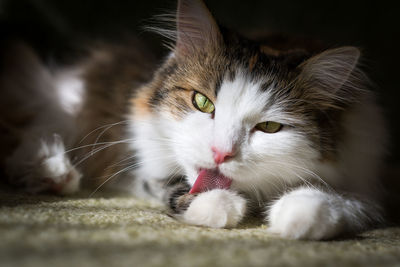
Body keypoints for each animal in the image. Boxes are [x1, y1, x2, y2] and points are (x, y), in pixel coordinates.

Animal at [0, 0, 388, 242]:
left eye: (270, 128)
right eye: (202, 102)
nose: (220, 153)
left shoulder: (368, 173)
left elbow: (343, 199)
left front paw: (300, 216)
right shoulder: (146, 163)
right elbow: (178, 188)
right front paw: (220, 206)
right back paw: (53, 173)